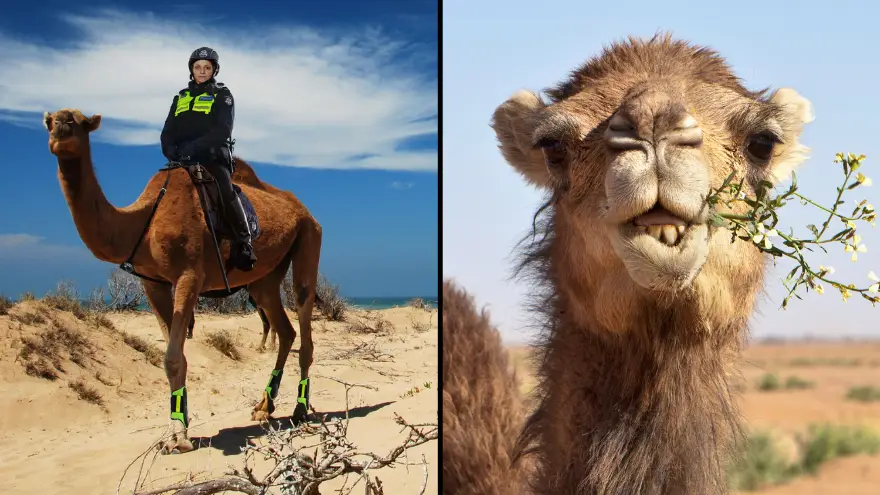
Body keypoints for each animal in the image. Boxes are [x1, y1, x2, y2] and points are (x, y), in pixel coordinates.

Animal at [42, 108, 322, 454]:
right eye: (49, 121)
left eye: (81, 123)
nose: (61, 128)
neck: (144, 222)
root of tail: (304, 210)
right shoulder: (153, 282)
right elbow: (176, 355)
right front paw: (179, 425)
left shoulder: (190, 276)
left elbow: (173, 358)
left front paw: (178, 436)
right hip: (265, 277)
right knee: (284, 328)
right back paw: (263, 407)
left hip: (309, 238)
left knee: (304, 311)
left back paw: (300, 409)